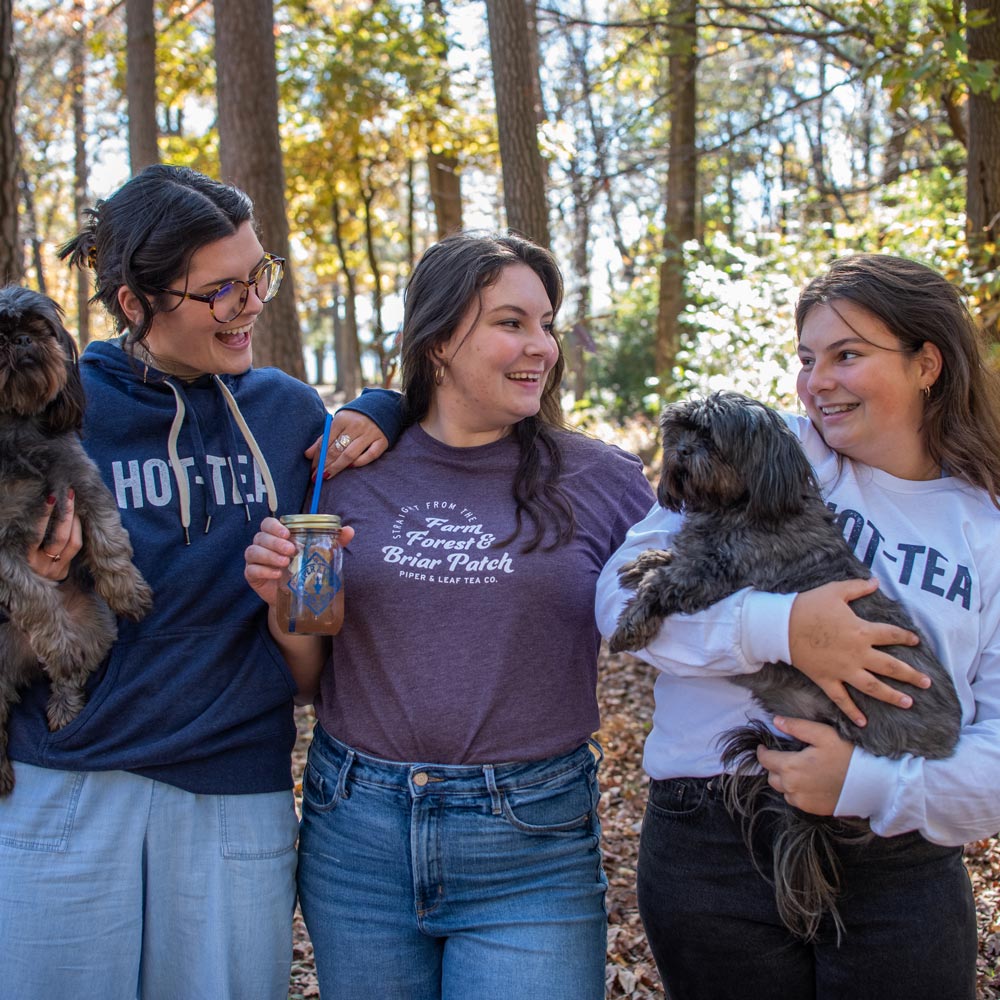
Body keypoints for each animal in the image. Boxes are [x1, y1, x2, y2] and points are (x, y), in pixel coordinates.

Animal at [0, 288, 152, 796]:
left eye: (40, 326)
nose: (20, 339)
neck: (18, 426)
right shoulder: (2, 546)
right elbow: (34, 597)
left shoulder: (80, 481)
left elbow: (109, 539)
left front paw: (128, 590)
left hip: (96, 624)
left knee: (69, 672)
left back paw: (65, 706)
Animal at [608, 392, 960, 944]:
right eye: (680, 431)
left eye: (710, 437)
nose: (681, 452)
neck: (737, 506)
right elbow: (667, 557)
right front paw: (643, 560)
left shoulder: (715, 574)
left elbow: (665, 584)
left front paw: (631, 621)